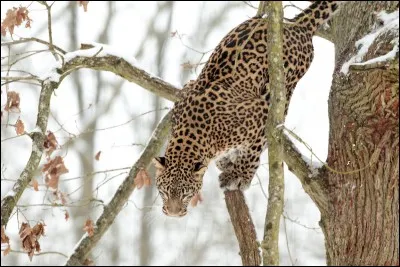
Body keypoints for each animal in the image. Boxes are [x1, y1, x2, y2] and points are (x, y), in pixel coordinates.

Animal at [152, 0, 340, 218]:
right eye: (164, 191)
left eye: (185, 193)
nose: (173, 213)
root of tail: (294, 24)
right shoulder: (185, 91)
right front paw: (225, 162)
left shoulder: (259, 114)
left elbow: (253, 149)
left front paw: (240, 175)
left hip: (282, 87)